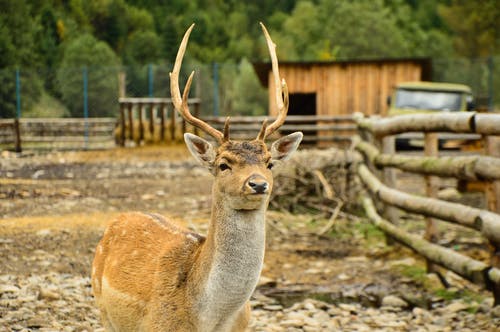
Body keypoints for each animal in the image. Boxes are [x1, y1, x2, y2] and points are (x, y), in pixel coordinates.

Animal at [92, 23, 302, 332]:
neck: (211, 318)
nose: (257, 183)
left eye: (270, 163)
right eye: (224, 164)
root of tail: (117, 220)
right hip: (103, 310)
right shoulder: (156, 326)